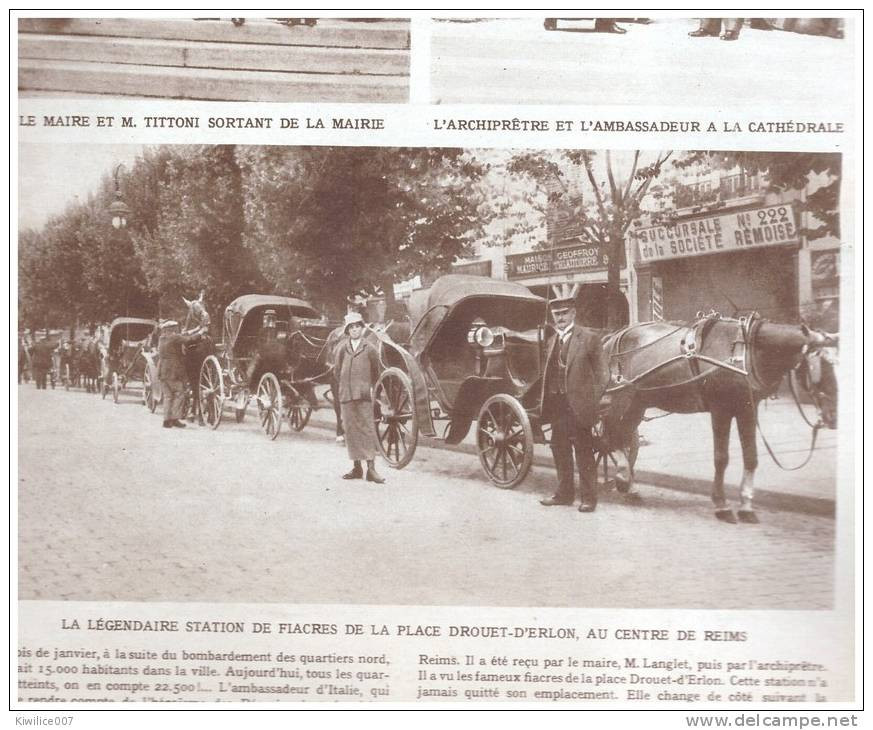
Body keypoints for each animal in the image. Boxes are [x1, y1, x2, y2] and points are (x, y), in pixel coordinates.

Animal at [604, 312, 836, 524]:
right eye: (819, 366)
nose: (833, 416)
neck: (745, 350)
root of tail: (612, 337)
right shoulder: (721, 409)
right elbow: (721, 458)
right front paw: (722, 506)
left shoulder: (748, 409)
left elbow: (751, 457)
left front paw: (746, 506)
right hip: (620, 400)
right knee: (610, 436)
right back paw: (623, 477)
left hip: (638, 402)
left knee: (622, 436)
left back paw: (630, 486)